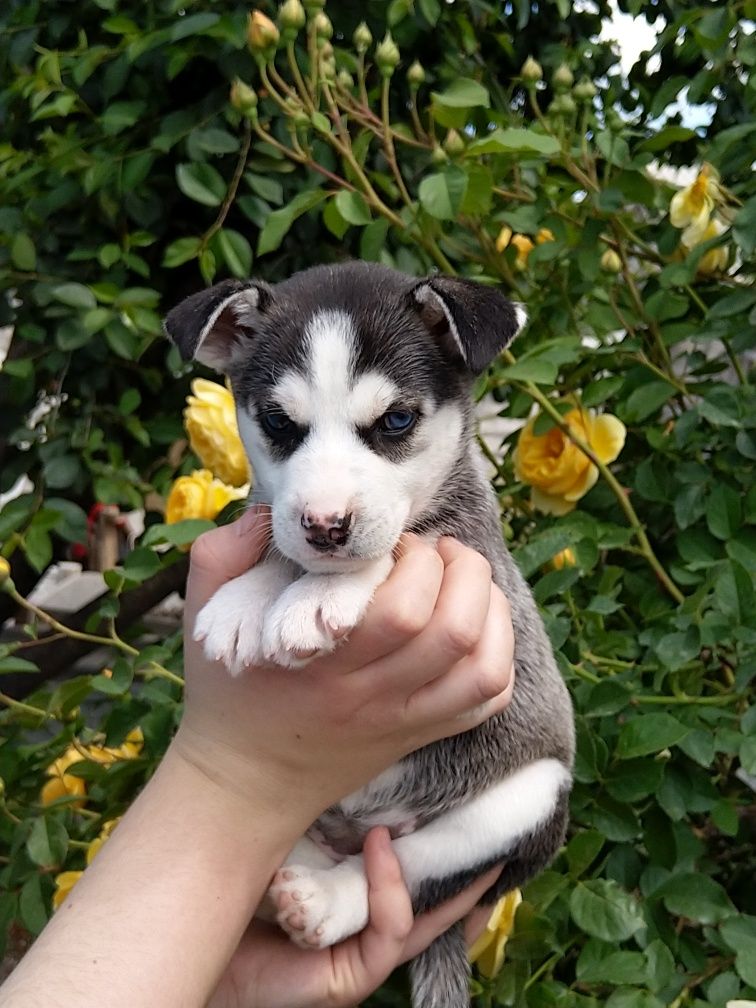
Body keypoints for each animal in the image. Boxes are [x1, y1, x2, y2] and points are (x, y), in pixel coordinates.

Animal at [165, 262, 572, 1008]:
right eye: (278, 423)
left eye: (396, 421)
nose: (326, 526)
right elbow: (276, 539)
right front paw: (246, 600)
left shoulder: (471, 549)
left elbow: (401, 546)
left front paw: (320, 595)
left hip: (522, 803)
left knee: (407, 875)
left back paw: (326, 900)